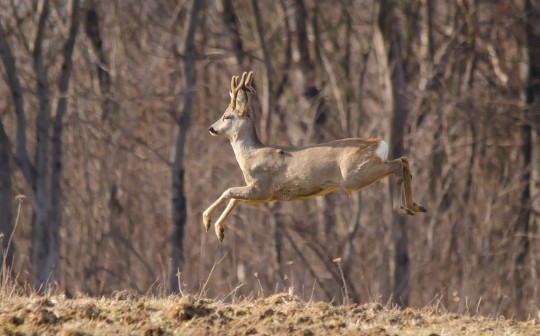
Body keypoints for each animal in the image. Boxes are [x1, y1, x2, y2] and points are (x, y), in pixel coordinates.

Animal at [204, 72, 426, 243]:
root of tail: (380, 143)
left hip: (355, 174)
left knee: (397, 164)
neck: (249, 155)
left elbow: (228, 191)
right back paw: (415, 205)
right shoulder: (262, 193)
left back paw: (402, 208)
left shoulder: (262, 187)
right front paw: (219, 231)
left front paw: (207, 221)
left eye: (227, 116)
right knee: (404, 160)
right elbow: (235, 198)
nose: (211, 128)